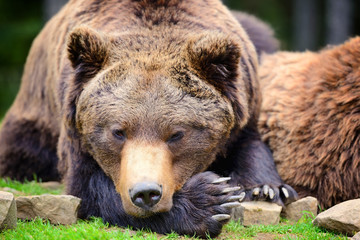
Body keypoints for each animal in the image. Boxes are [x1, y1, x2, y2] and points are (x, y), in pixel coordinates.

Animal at [0, 0, 296, 236]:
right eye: (118, 131)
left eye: (177, 133)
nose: (145, 193)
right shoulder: (76, 130)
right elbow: (89, 187)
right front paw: (209, 199)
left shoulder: (245, 104)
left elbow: (251, 145)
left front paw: (267, 189)